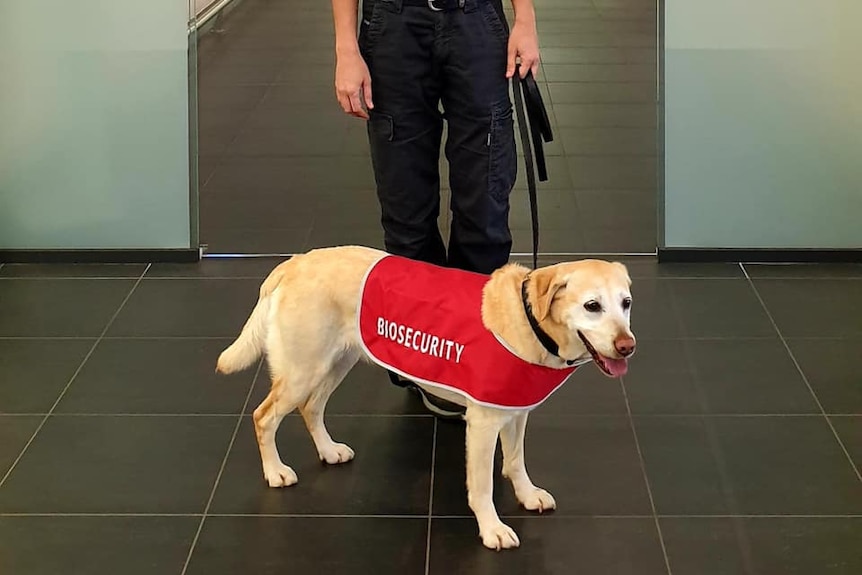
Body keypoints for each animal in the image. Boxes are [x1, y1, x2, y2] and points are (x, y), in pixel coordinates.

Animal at [216, 245, 636, 552]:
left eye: (626, 303)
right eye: (592, 306)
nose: (627, 346)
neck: (529, 319)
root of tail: (296, 261)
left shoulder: (516, 412)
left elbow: (516, 462)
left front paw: (527, 494)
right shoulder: (483, 423)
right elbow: (482, 486)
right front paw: (492, 529)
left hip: (337, 361)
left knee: (311, 407)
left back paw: (329, 450)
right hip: (304, 368)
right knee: (264, 416)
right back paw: (275, 471)